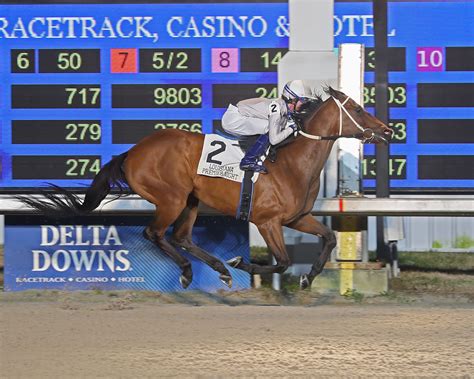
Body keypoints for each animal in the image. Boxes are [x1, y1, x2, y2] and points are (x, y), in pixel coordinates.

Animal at [19, 88, 392, 290]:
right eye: (356, 108)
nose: (387, 130)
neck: (291, 163)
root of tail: (133, 151)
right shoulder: (267, 220)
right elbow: (283, 261)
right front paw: (242, 263)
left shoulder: (296, 218)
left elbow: (328, 239)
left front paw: (307, 279)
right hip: (171, 198)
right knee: (156, 234)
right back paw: (192, 272)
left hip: (191, 201)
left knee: (182, 236)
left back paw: (219, 272)